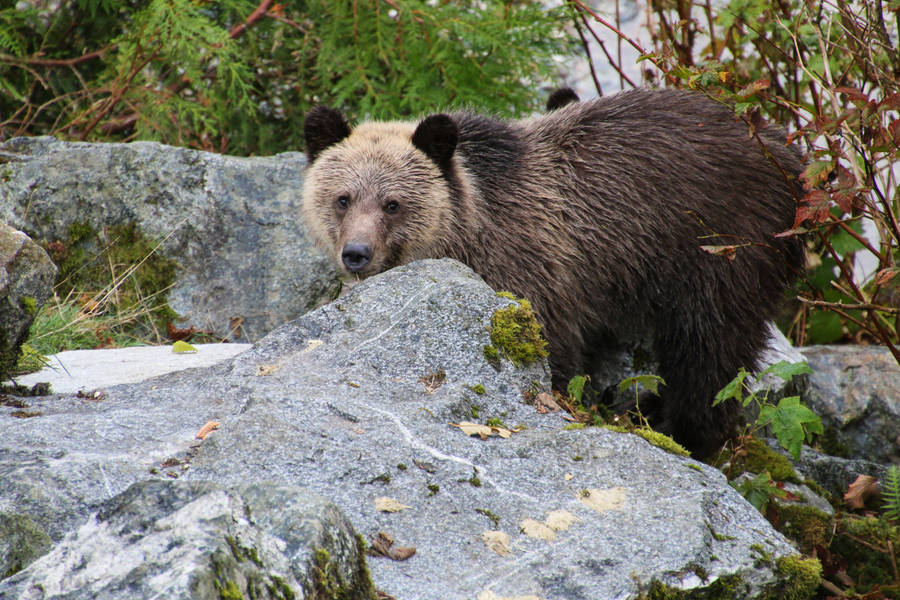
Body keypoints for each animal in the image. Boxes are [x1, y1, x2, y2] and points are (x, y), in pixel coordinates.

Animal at [302, 88, 800, 454]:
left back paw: (685, 431)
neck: (469, 233)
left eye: (393, 203)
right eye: (343, 198)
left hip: (720, 245)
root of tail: (785, 150)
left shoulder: (533, 270)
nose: (357, 253)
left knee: (710, 348)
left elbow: (552, 352)